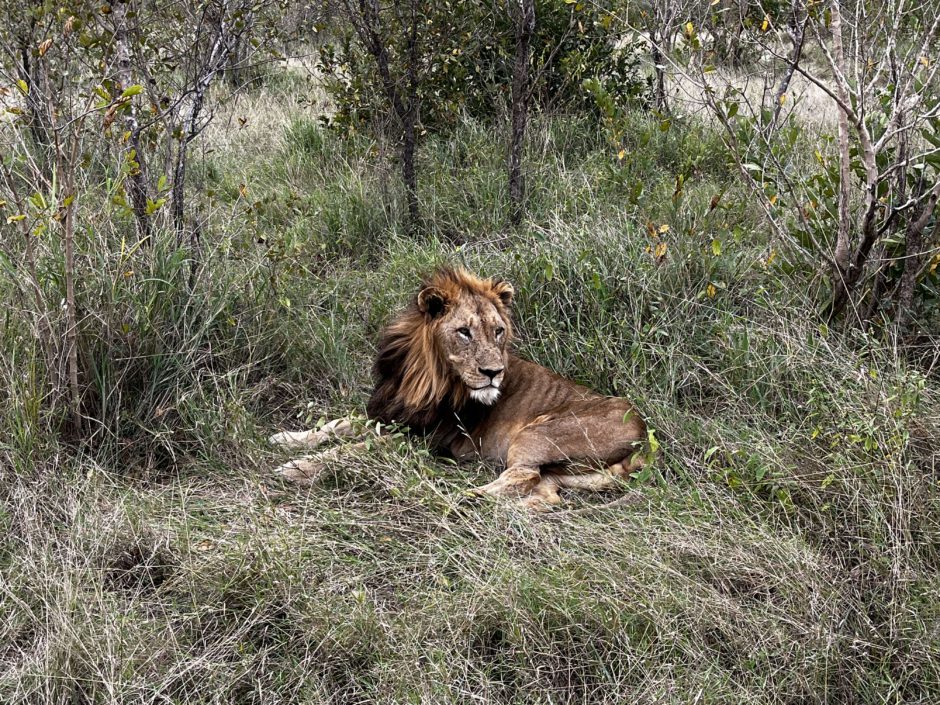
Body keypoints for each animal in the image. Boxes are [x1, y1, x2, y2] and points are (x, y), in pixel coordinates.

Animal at [268, 266, 648, 508]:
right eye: (464, 332)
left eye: (498, 331)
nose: (494, 372)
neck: (420, 376)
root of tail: (645, 434)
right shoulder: (390, 413)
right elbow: (336, 424)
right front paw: (287, 439)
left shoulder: (421, 438)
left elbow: (354, 449)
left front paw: (297, 468)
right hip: (560, 471)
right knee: (545, 496)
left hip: (537, 434)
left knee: (522, 477)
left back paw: (458, 498)